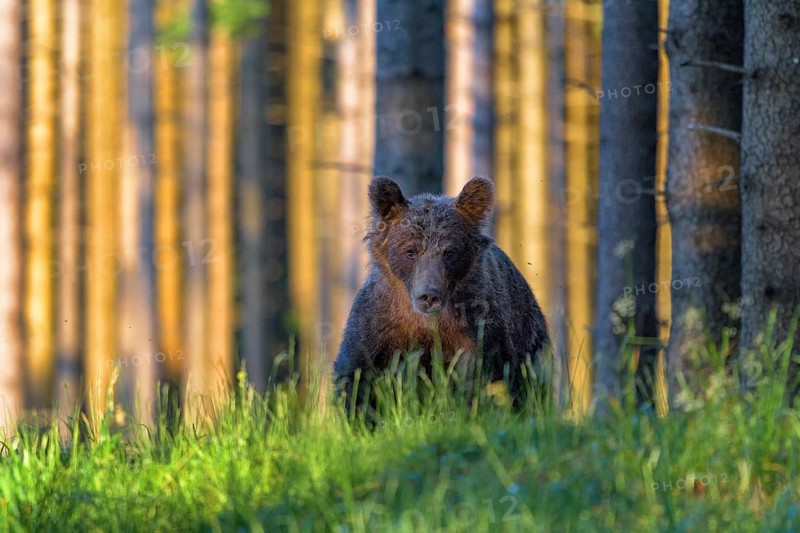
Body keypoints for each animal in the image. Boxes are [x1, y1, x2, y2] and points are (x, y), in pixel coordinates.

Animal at [333, 176, 550, 411]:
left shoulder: (479, 330)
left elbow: (485, 379)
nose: (429, 296)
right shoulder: (379, 324)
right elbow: (356, 375)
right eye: (410, 251)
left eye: (450, 252)